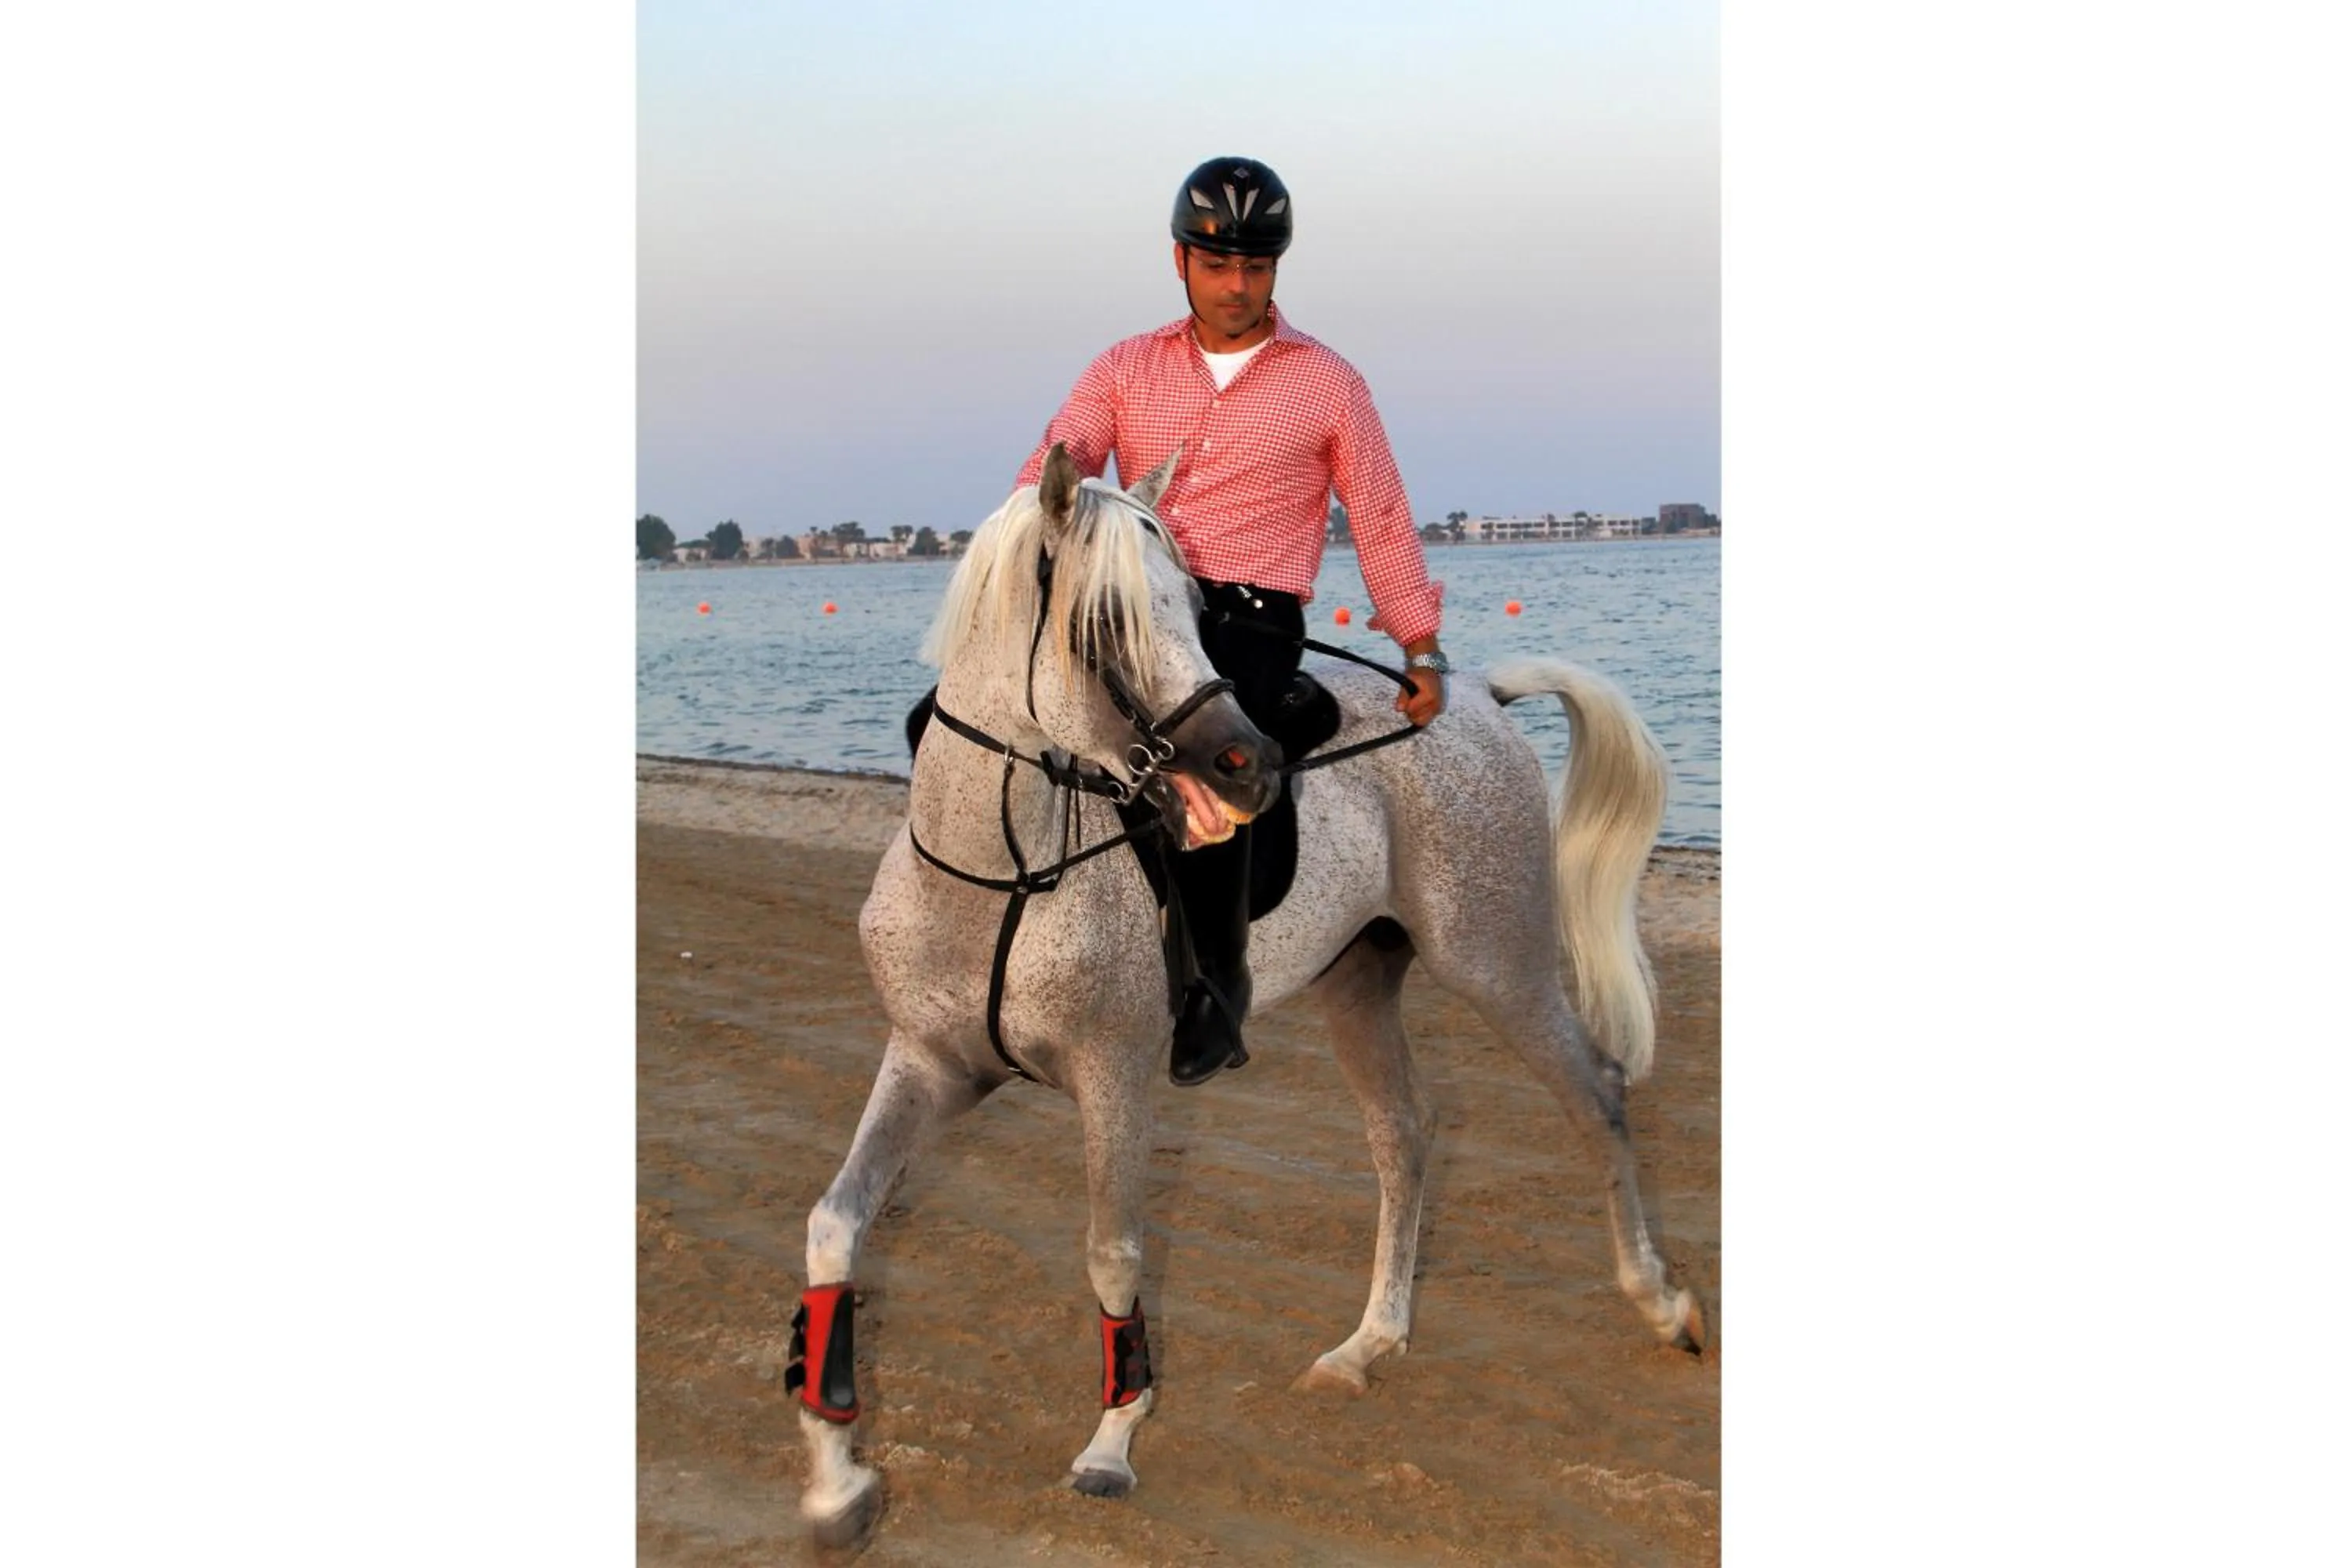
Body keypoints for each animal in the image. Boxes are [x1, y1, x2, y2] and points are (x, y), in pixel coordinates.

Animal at [790, 444, 1705, 1550]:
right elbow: (835, 1226)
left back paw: (1661, 1302)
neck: (1001, 872)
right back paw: (1368, 1343)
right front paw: (836, 1479)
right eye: (1105, 622)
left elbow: (1113, 1253)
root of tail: (1472, 696)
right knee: (1405, 1133)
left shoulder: (1114, 1079)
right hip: (1361, 981)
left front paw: (1110, 1443)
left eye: (1190, 605)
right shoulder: (930, 1062)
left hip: (1496, 961)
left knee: (1597, 1093)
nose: (1250, 765)